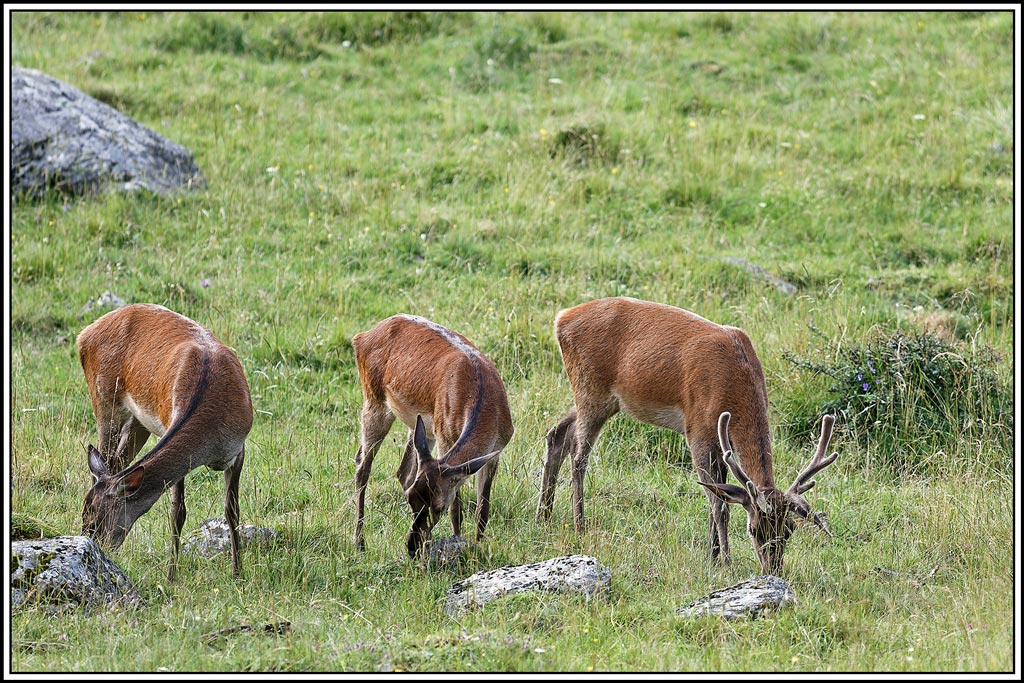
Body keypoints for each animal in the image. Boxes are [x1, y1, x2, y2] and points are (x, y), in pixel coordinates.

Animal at [77, 303, 253, 581]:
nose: (92, 547)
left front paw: (237, 573)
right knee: (106, 455)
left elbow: (232, 511)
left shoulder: (238, 451)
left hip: (138, 422)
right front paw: (171, 577)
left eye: (95, 521)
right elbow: (177, 512)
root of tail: (84, 334)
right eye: (85, 515)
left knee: (116, 462)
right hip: (104, 402)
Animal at [352, 314, 514, 559]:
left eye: (438, 507)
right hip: (374, 400)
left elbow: (482, 509)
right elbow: (457, 510)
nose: (412, 546)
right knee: (362, 464)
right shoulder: (445, 435)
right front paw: (459, 543)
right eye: (411, 499)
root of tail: (361, 337)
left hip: (420, 426)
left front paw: (478, 545)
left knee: (404, 471)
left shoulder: (497, 451)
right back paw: (359, 543)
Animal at [537, 296, 839, 575]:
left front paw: (712, 555)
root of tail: (561, 319)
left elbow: (716, 495)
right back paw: (579, 525)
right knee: (579, 456)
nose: (773, 570)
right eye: (754, 530)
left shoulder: (719, 443)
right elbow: (720, 506)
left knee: (557, 433)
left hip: (603, 400)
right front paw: (725, 562)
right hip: (590, 389)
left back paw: (544, 515)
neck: (734, 389)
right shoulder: (697, 430)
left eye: (789, 529)